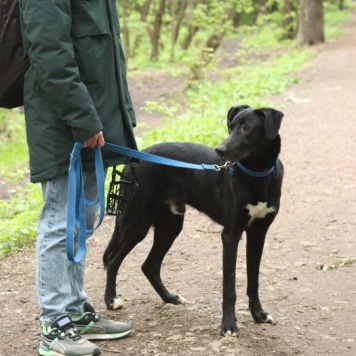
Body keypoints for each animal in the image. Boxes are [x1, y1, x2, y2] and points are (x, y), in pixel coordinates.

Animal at [103, 104, 284, 336]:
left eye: (246, 128)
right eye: (231, 126)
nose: (219, 150)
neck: (257, 174)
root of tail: (132, 160)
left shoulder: (258, 234)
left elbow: (253, 281)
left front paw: (259, 315)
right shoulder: (230, 235)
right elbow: (229, 286)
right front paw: (228, 325)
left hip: (170, 226)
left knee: (149, 265)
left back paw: (169, 298)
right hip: (137, 221)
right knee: (112, 259)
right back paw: (111, 300)